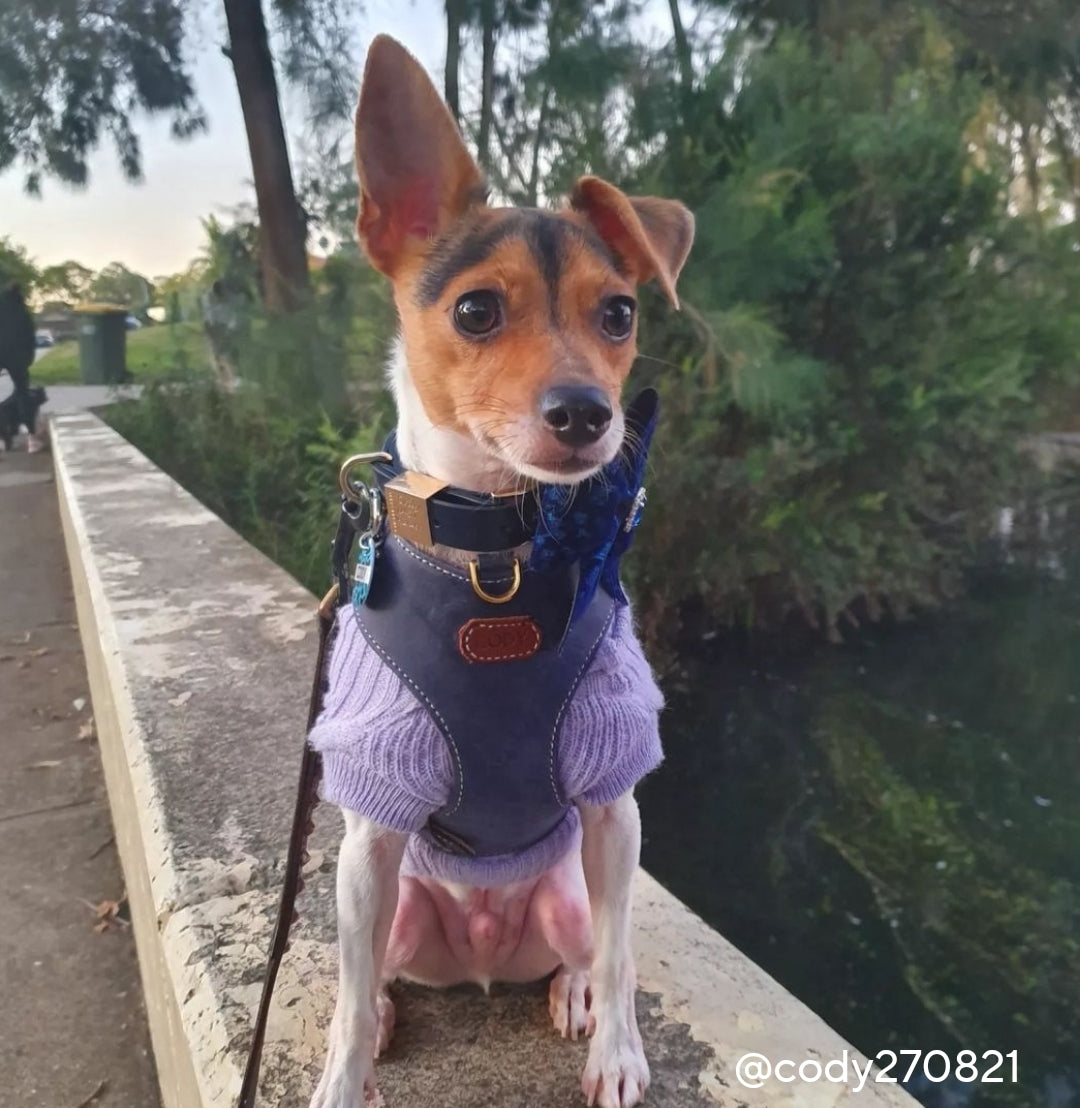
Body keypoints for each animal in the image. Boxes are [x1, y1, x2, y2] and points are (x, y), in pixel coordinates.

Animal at [305, 34, 691, 1108]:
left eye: (620, 314)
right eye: (476, 309)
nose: (586, 412)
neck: (499, 559)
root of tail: (481, 948)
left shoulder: (614, 799)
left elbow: (626, 956)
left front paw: (620, 1054)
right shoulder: (371, 822)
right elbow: (343, 1006)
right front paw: (342, 1080)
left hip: (570, 893)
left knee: (588, 951)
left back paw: (572, 995)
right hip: (390, 907)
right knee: (368, 980)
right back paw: (390, 1012)